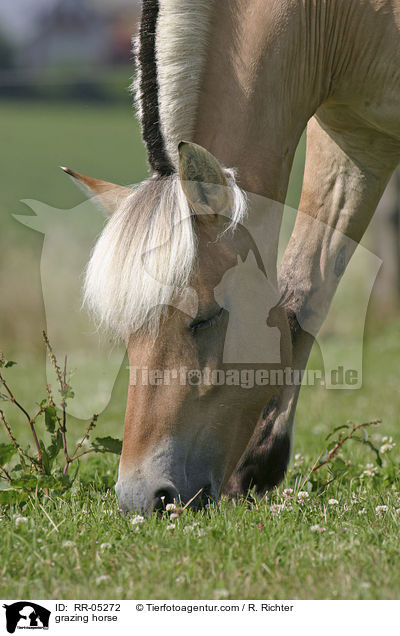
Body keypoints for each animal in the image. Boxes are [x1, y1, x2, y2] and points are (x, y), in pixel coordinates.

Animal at [62, 0, 400, 516]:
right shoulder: (356, 137)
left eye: (205, 318)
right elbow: (303, 294)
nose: (141, 497)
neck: (333, 18)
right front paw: (255, 467)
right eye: (126, 333)